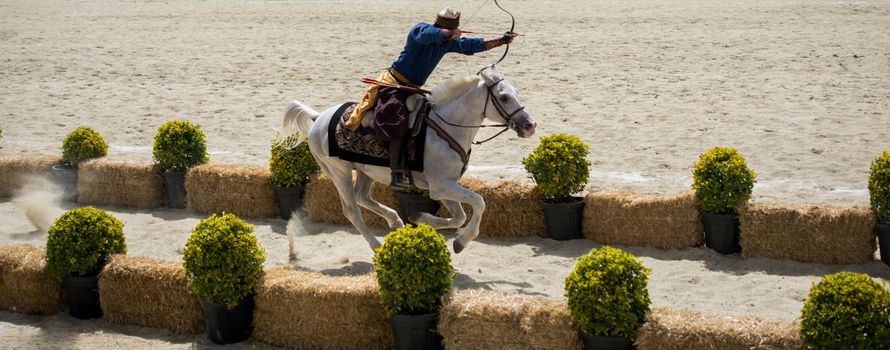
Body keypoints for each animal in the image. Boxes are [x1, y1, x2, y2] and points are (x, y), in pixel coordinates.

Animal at [284, 67, 536, 254]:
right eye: (504, 97)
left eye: (517, 92)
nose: (530, 125)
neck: (445, 128)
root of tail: (319, 118)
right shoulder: (442, 185)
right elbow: (478, 202)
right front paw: (462, 241)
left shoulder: (443, 187)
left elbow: (459, 216)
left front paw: (424, 220)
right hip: (339, 173)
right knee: (351, 209)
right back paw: (376, 245)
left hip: (365, 171)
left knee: (363, 197)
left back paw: (395, 221)